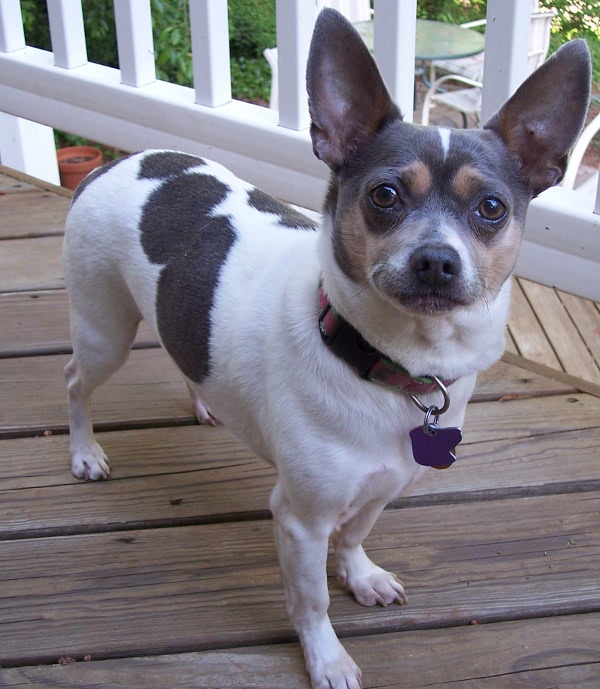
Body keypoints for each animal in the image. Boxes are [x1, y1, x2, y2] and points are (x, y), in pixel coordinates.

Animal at [62, 9, 592, 688]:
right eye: (384, 195)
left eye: (492, 207)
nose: (436, 260)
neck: (392, 369)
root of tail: (111, 165)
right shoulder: (300, 519)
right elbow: (311, 599)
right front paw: (327, 657)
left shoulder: (383, 488)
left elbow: (357, 535)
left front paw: (361, 576)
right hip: (104, 331)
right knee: (76, 382)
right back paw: (84, 452)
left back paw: (203, 401)